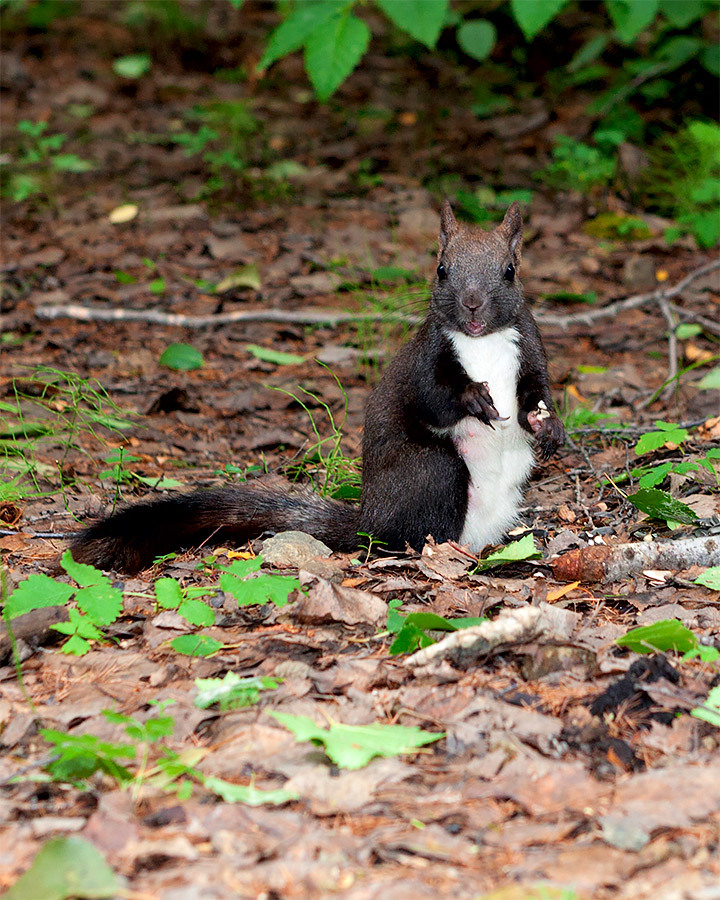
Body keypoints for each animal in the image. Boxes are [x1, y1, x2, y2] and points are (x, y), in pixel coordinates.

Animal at [71, 200, 568, 572]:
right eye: (442, 268)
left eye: (509, 270)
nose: (472, 304)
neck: (481, 341)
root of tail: (370, 518)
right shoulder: (426, 358)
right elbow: (432, 399)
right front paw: (473, 398)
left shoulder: (529, 346)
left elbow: (536, 391)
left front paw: (550, 427)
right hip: (430, 471)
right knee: (407, 531)